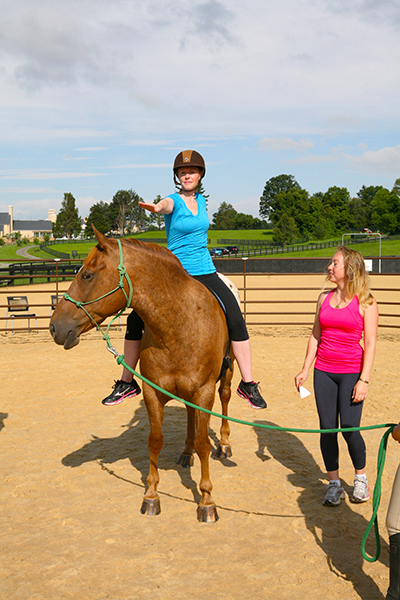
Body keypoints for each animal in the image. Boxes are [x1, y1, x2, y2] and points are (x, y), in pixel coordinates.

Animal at [50, 229, 234, 520]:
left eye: (87, 275)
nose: (54, 326)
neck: (179, 326)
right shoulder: (153, 393)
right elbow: (155, 441)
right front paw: (151, 496)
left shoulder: (204, 391)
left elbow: (204, 442)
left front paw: (206, 500)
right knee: (189, 414)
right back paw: (186, 452)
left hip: (228, 372)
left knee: (225, 397)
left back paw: (225, 444)